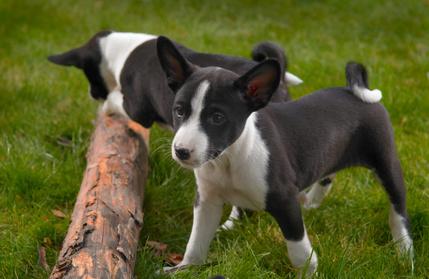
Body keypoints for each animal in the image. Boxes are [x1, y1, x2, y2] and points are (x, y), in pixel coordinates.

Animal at [156, 36, 412, 276]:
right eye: (179, 111)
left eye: (217, 118)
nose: (181, 151)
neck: (230, 157)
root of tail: (354, 91)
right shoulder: (207, 200)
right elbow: (196, 242)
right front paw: (185, 268)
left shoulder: (284, 201)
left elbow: (299, 250)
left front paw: (309, 273)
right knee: (328, 174)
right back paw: (312, 201)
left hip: (386, 163)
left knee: (398, 211)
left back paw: (404, 251)